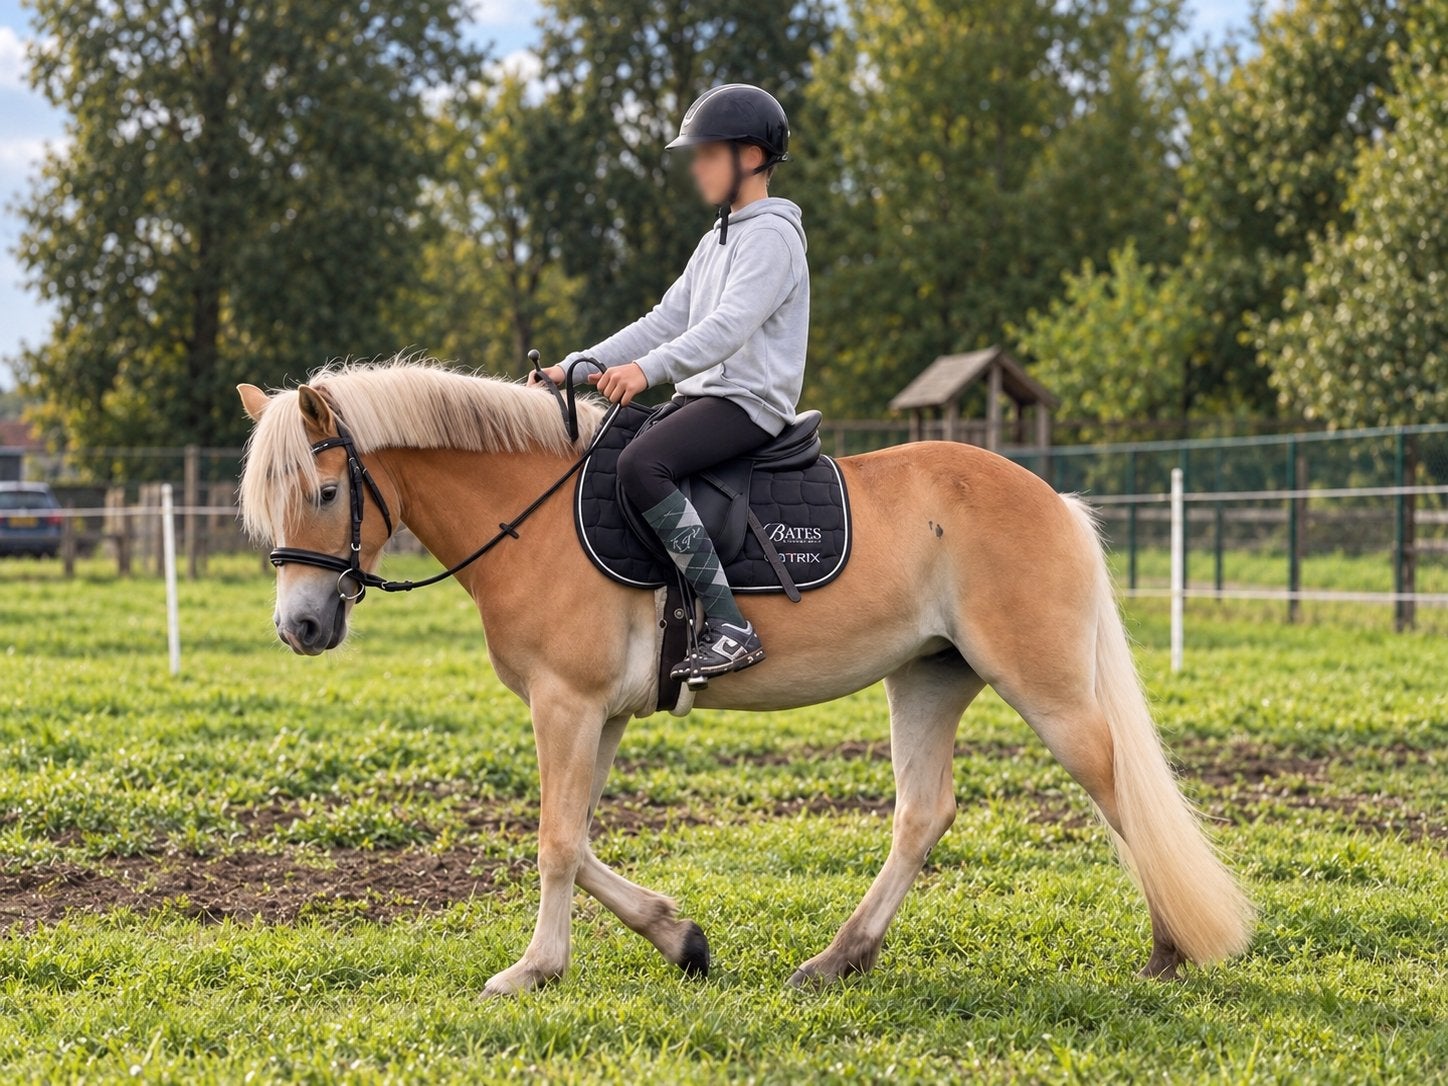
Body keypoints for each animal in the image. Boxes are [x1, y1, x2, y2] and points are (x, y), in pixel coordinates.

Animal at [235, 358, 1254, 997]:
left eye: (326, 491)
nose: (300, 627)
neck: (532, 517)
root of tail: (1052, 499)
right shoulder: (600, 714)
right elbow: (580, 834)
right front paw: (679, 937)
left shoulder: (567, 705)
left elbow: (556, 840)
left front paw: (534, 969)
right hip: (928, 679)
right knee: (924, 814)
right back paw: (838, 960)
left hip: (1042, 687)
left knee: (1113, 786)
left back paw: (1169, 948)